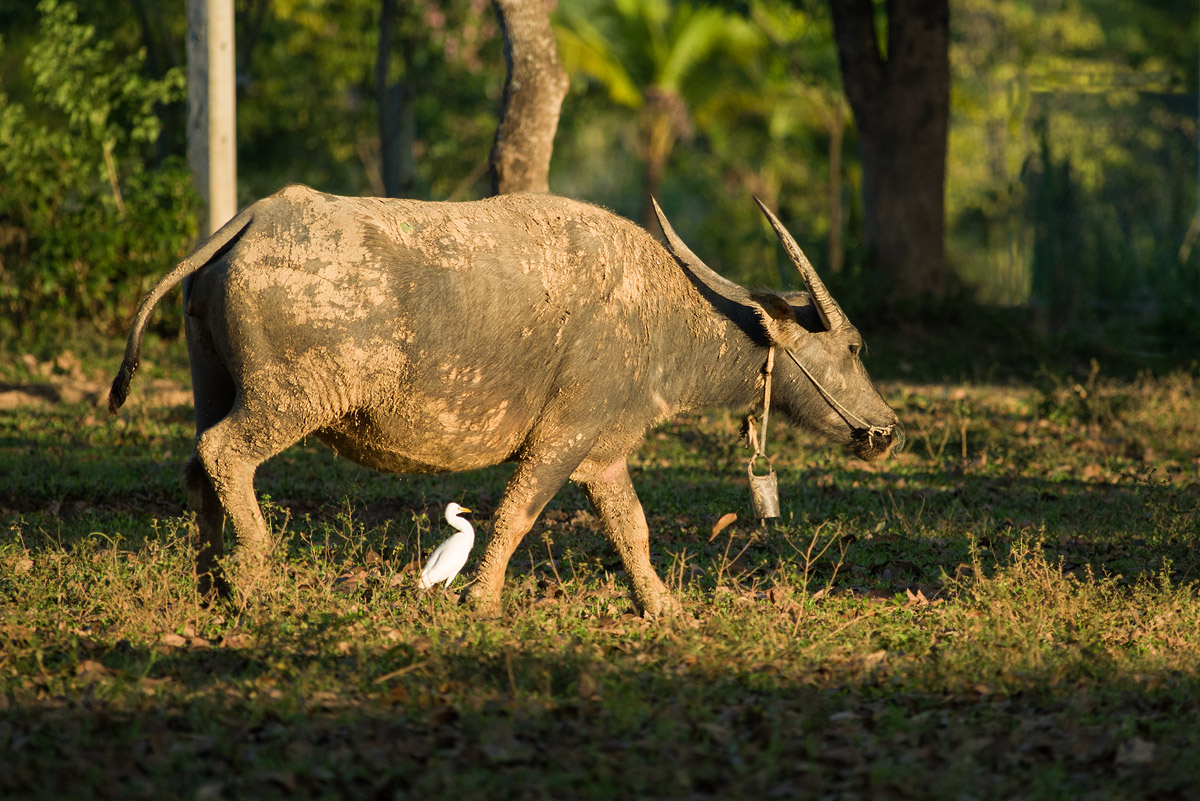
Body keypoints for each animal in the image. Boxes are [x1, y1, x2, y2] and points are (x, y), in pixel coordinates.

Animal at [110, 184, 902, 618]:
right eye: (855, 346)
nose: (886, 430)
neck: (661, 314)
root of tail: (251, 220)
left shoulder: (604, 455)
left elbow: (632, 529)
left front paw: (663, 606)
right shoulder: (563, 437)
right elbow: (519, 512)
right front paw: (482, 598)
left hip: (214, 381)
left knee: (198, 470)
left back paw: (210, 583)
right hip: (290, 399)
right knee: (225, 455)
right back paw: (254, 577)